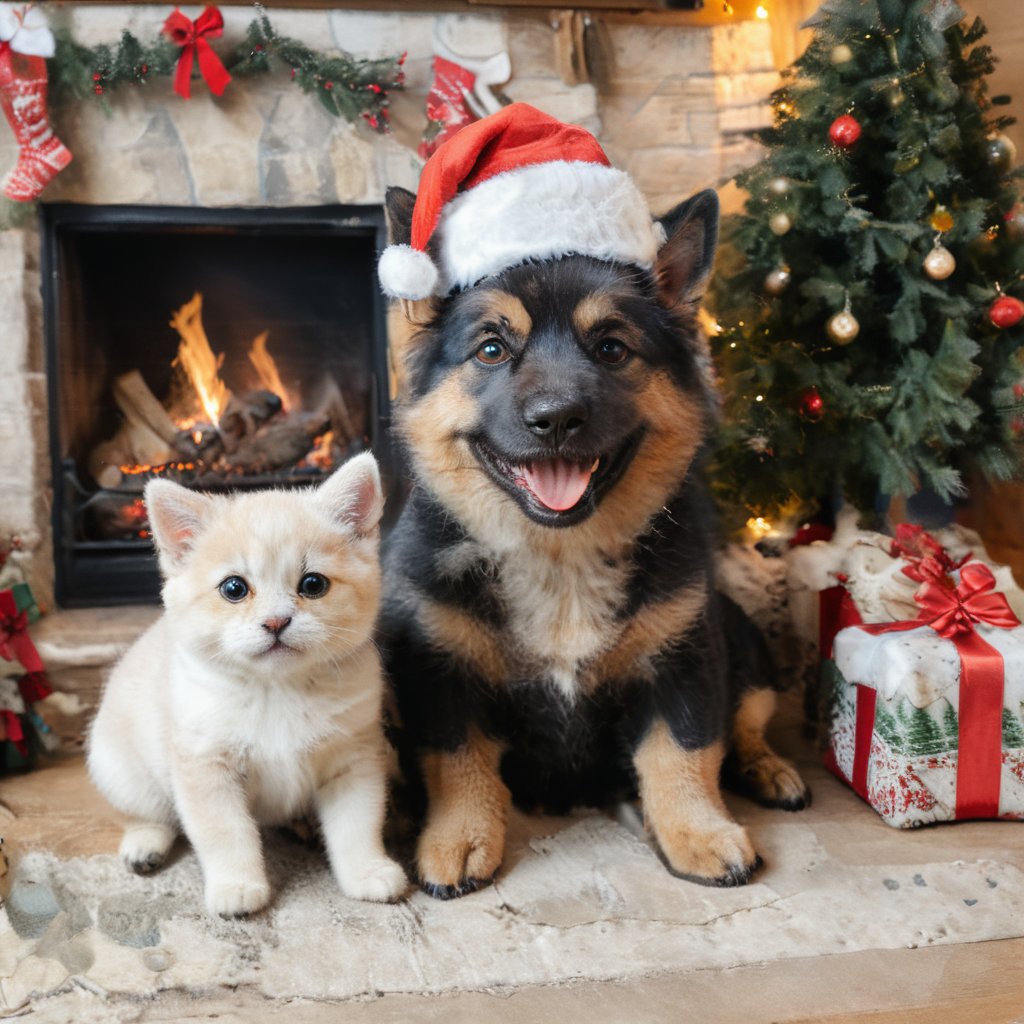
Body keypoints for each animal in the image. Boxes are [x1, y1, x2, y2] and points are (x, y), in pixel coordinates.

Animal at [88, 452, 407, 917]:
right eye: (234, 588)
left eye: (313, 584)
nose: (276, 622)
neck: (278, 689)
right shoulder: (206, 768)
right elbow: (226, 833)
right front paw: (237, 886)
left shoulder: (354, 758)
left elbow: (357, 825)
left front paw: (367, 871)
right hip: (122, 773)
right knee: (146, 813)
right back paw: (145, 844)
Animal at [380, 182, 811, 897]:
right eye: (491, 349)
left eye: (611, 348)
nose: (556, 419)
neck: (559, 557)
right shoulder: (441, 672)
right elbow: (458, 762)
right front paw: (460, 837)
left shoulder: (686, 658)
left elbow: (684, 750)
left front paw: (698, 833)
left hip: (744, 644)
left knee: (748, 724)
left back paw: (770, 769)